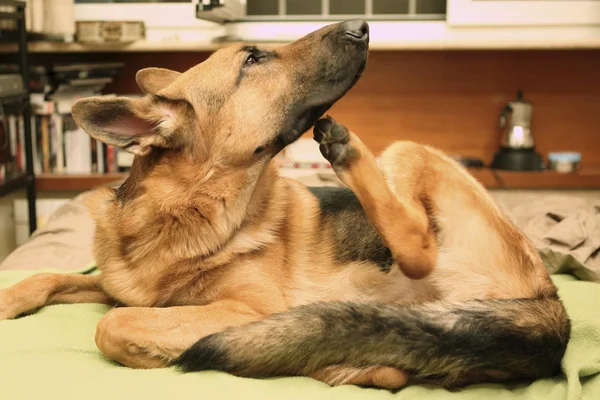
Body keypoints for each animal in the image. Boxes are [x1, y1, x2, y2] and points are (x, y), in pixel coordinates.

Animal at [0, 19, 572, 390]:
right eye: (252, 59)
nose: (363, 24)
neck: (187, 213)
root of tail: (549, 303)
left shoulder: (248, 309)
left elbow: (113, 325)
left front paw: (160, 353)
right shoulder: (119, 284)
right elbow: (52, 275)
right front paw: (10, 297)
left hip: (409, 155)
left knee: (416, 247)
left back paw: (348, 152)